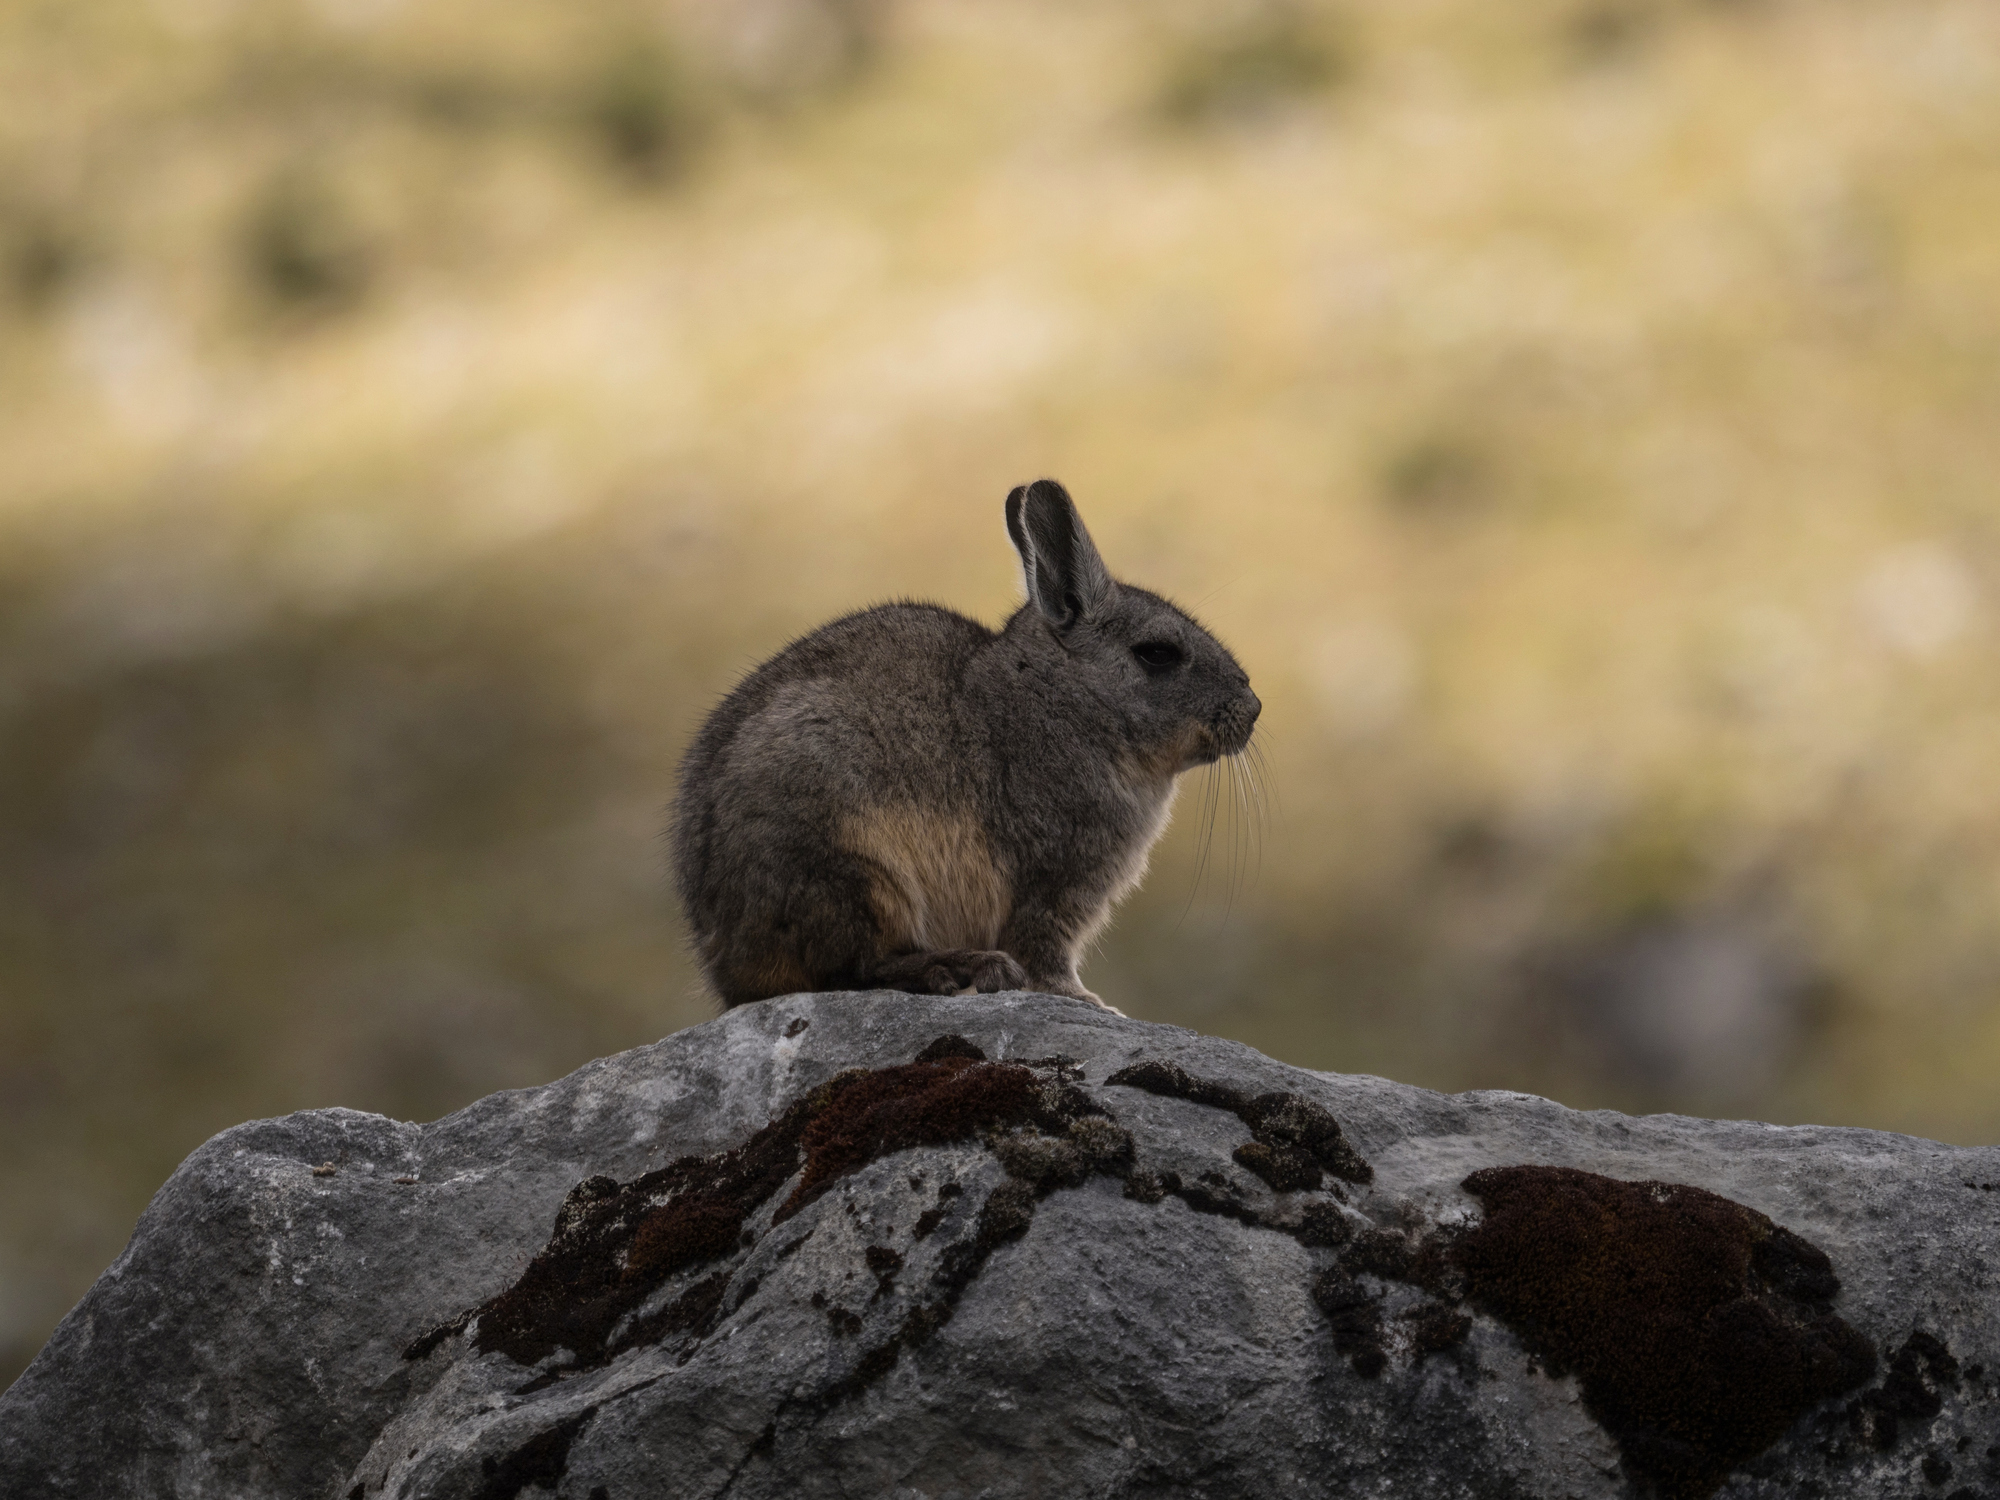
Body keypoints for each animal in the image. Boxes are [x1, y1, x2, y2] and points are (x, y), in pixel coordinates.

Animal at [670, 478, 1260, 1011]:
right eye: (1157, 653)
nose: (1254, 709)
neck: (1063, 701)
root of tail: (725, 965)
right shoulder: (1055, 879)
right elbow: (1048, 955)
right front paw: (1092, 1003)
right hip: (857, 870)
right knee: (856, 968)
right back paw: (965, 968)